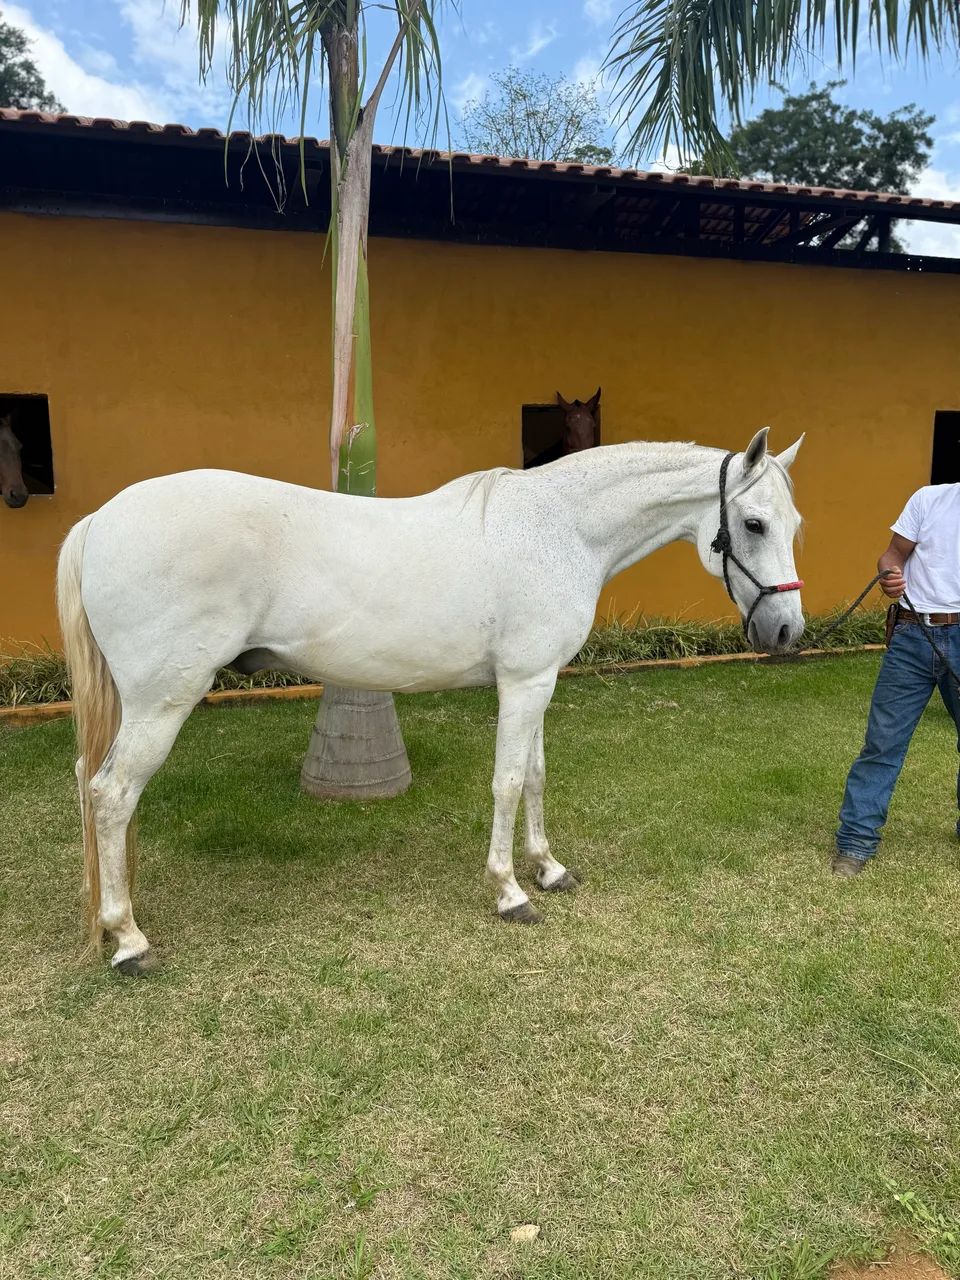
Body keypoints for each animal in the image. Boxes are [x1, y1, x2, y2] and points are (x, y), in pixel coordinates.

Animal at [57, 428, 804, 975]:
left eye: (794, 522)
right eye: (754, 523)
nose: (788, 633)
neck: (559, 530)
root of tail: (100, 520)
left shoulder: (538, 680)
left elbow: (536, 777)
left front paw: (549, 869)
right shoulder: (523, 682)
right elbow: (507, 782)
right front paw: (509, 892)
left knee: (96, 790)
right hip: (162, 703)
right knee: (112, 794)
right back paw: (129, 941)